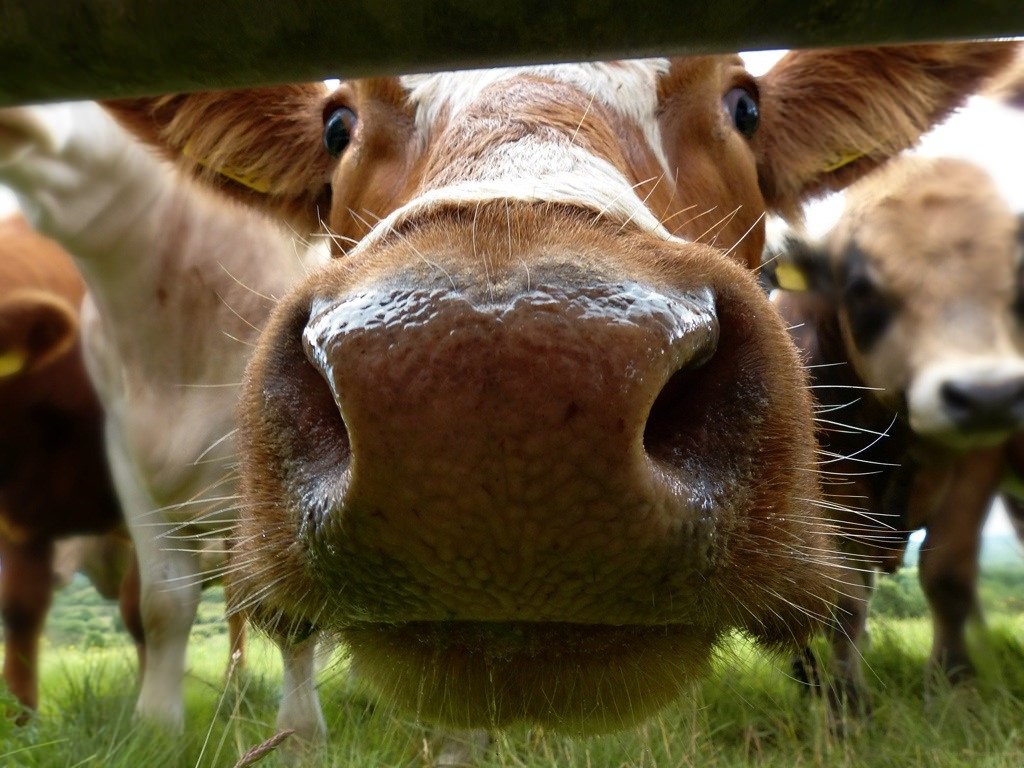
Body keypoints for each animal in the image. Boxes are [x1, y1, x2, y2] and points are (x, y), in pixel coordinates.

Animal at [764, 154, 1024, 712]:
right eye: (860, 287)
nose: (987, 395)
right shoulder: (827, 489)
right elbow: (844, 598)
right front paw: (847, 702)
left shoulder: (977, 466)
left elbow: (948, 576)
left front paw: (952, 685)